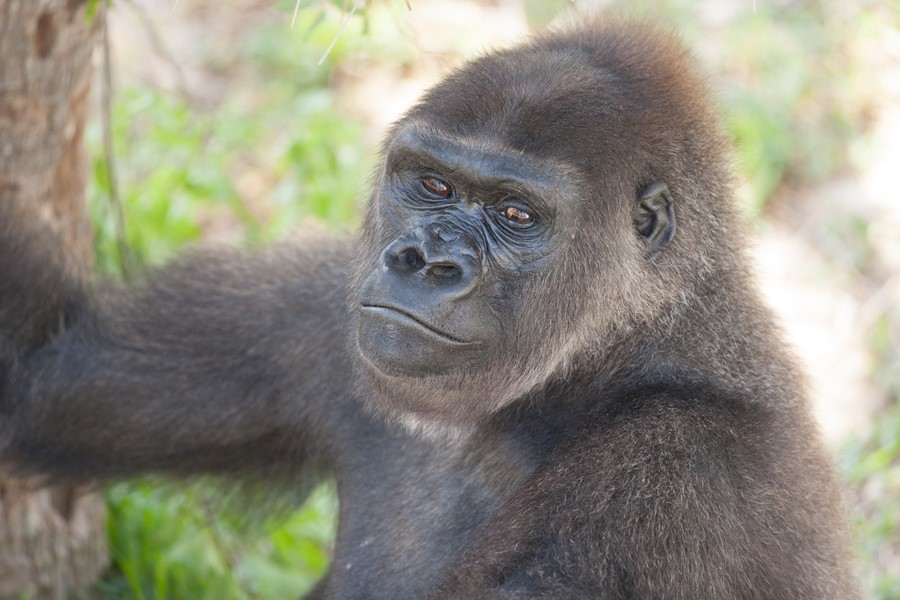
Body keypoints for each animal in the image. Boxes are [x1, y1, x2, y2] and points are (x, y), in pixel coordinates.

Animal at [0, 19, 856, 600]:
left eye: (516, 215)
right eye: (433, 184)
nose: (423, 260)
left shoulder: (677, 479)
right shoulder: (325, 311)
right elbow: (37, 369)